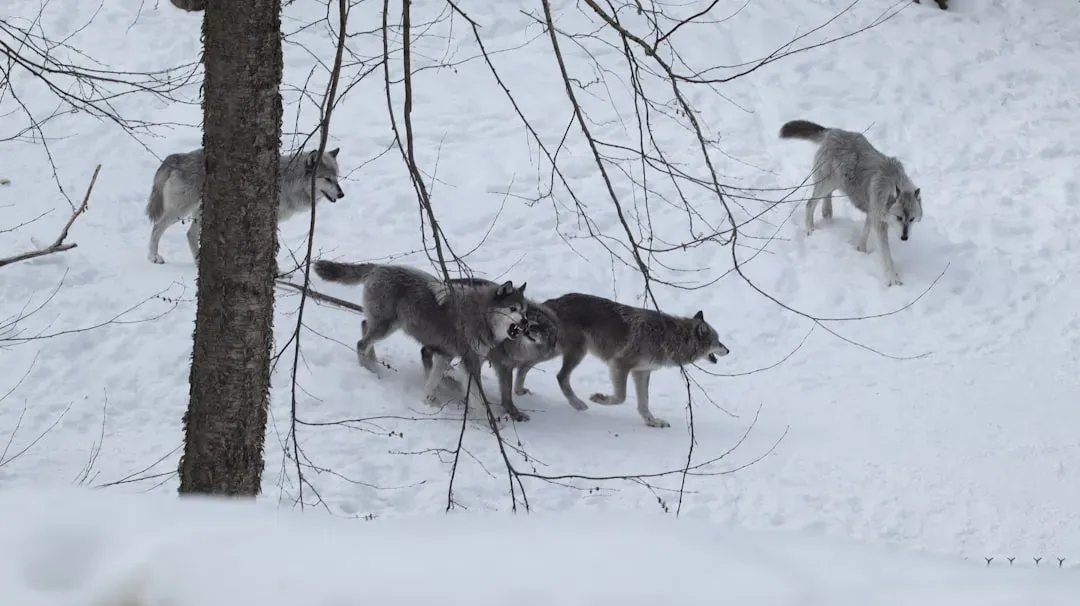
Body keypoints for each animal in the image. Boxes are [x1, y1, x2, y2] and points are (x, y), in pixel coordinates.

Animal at [145, 147, 345, 265]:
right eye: (327, 179)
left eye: (337, 178)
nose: (342, 194)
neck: (290, 182)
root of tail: (176, 158)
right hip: (180, 211)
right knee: (157, 228)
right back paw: (154, 257)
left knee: (189, 234)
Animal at [312, 261, 528, 405]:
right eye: (513, 309)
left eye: (525, 310)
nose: (526, 323)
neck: (481, 315)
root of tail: (378, 267)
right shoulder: (468, 363)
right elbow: (478, 398)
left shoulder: (446, 355)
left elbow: (433, 380)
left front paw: (427, 400)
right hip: (386, 326)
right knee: (361, 343)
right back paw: (368, 370)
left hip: (389, 325)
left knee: (364, 326)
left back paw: (373, 362)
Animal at [419, 277, 561, 422]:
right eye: (534, 322)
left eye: (546, 331)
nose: (528, 327)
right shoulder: (502, 366)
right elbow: (506, 392)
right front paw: (513, 412)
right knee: (426, 352)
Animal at [536, 293, 730, 429]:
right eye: (718, 341)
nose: (728, 350)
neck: (669, 337)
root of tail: (551, 302)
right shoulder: (620, 364)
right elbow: (620, 397)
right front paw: (599, 399)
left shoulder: (642, 372)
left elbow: (644, 403)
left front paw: (653, 422)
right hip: (573, 352)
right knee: (560, 376)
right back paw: (576, 404)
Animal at [779, 119, 923, 287]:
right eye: (899, 218)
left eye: (911, 219)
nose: (904, 238)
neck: (890, 184)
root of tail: (831, 132)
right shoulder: (879, 223)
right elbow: (887, 256)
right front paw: (893, 278)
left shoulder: (872, 215)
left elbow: (864, 234)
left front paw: (861, 250)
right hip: (827, 183)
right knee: (809, 204)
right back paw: (810, 228)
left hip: (835, 183)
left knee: (825, 199)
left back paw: (827, 213)